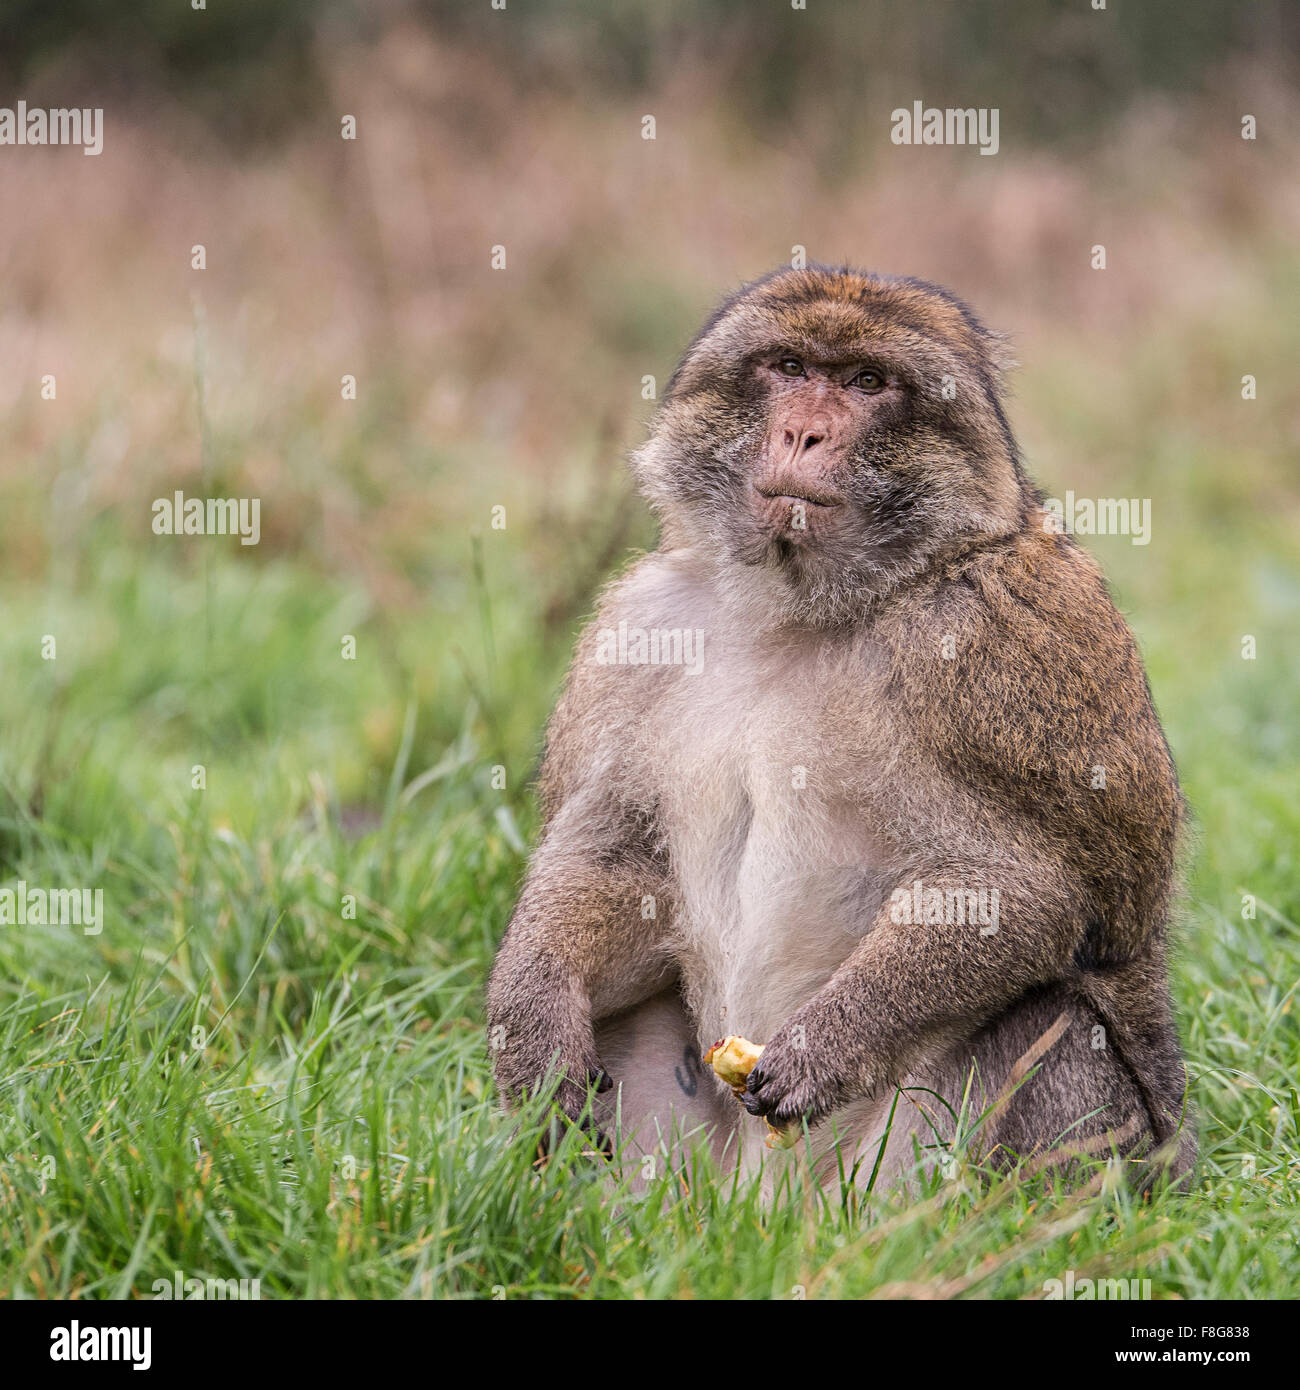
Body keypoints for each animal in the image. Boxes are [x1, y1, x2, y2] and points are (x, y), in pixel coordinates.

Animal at [489, 262, 1201, 1195]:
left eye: (866, 382)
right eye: (790, 367)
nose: (803, 433)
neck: (803, 609)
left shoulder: (1006, 640)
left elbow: (1028, 890)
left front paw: (826, 1048)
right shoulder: (637, 628)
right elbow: (618, 856)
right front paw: (532, 1020)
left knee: (1051, 1021)